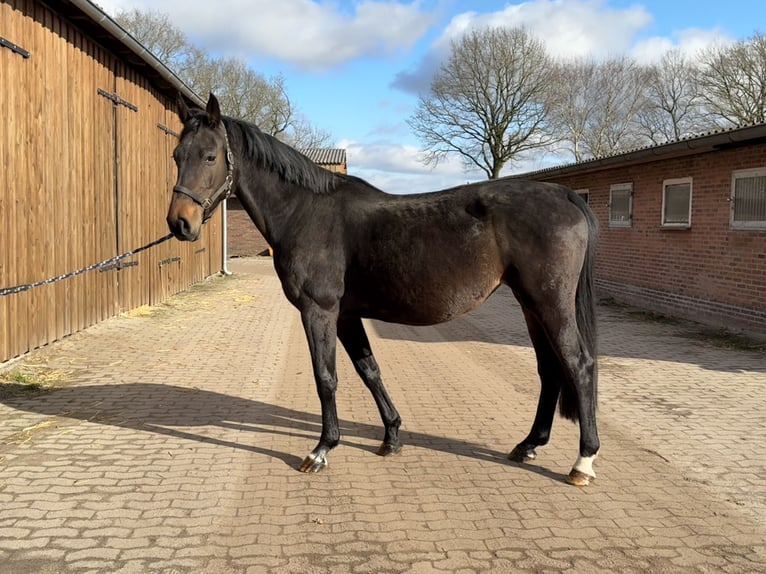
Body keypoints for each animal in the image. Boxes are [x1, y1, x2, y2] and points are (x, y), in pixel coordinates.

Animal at [165, 93, 604, 486]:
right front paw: (391, 436)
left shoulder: (319, 310)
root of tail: (563, 194)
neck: (306, 212)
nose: (180, 223)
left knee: (578, 365)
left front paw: (321, 449)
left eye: (210, 156)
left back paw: (582, 462)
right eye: (176, 156)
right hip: (530, 304)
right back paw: (528, 444)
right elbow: (369, 370)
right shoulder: (346, 314)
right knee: (550, 369)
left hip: (549, 303)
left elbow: (326, 377)